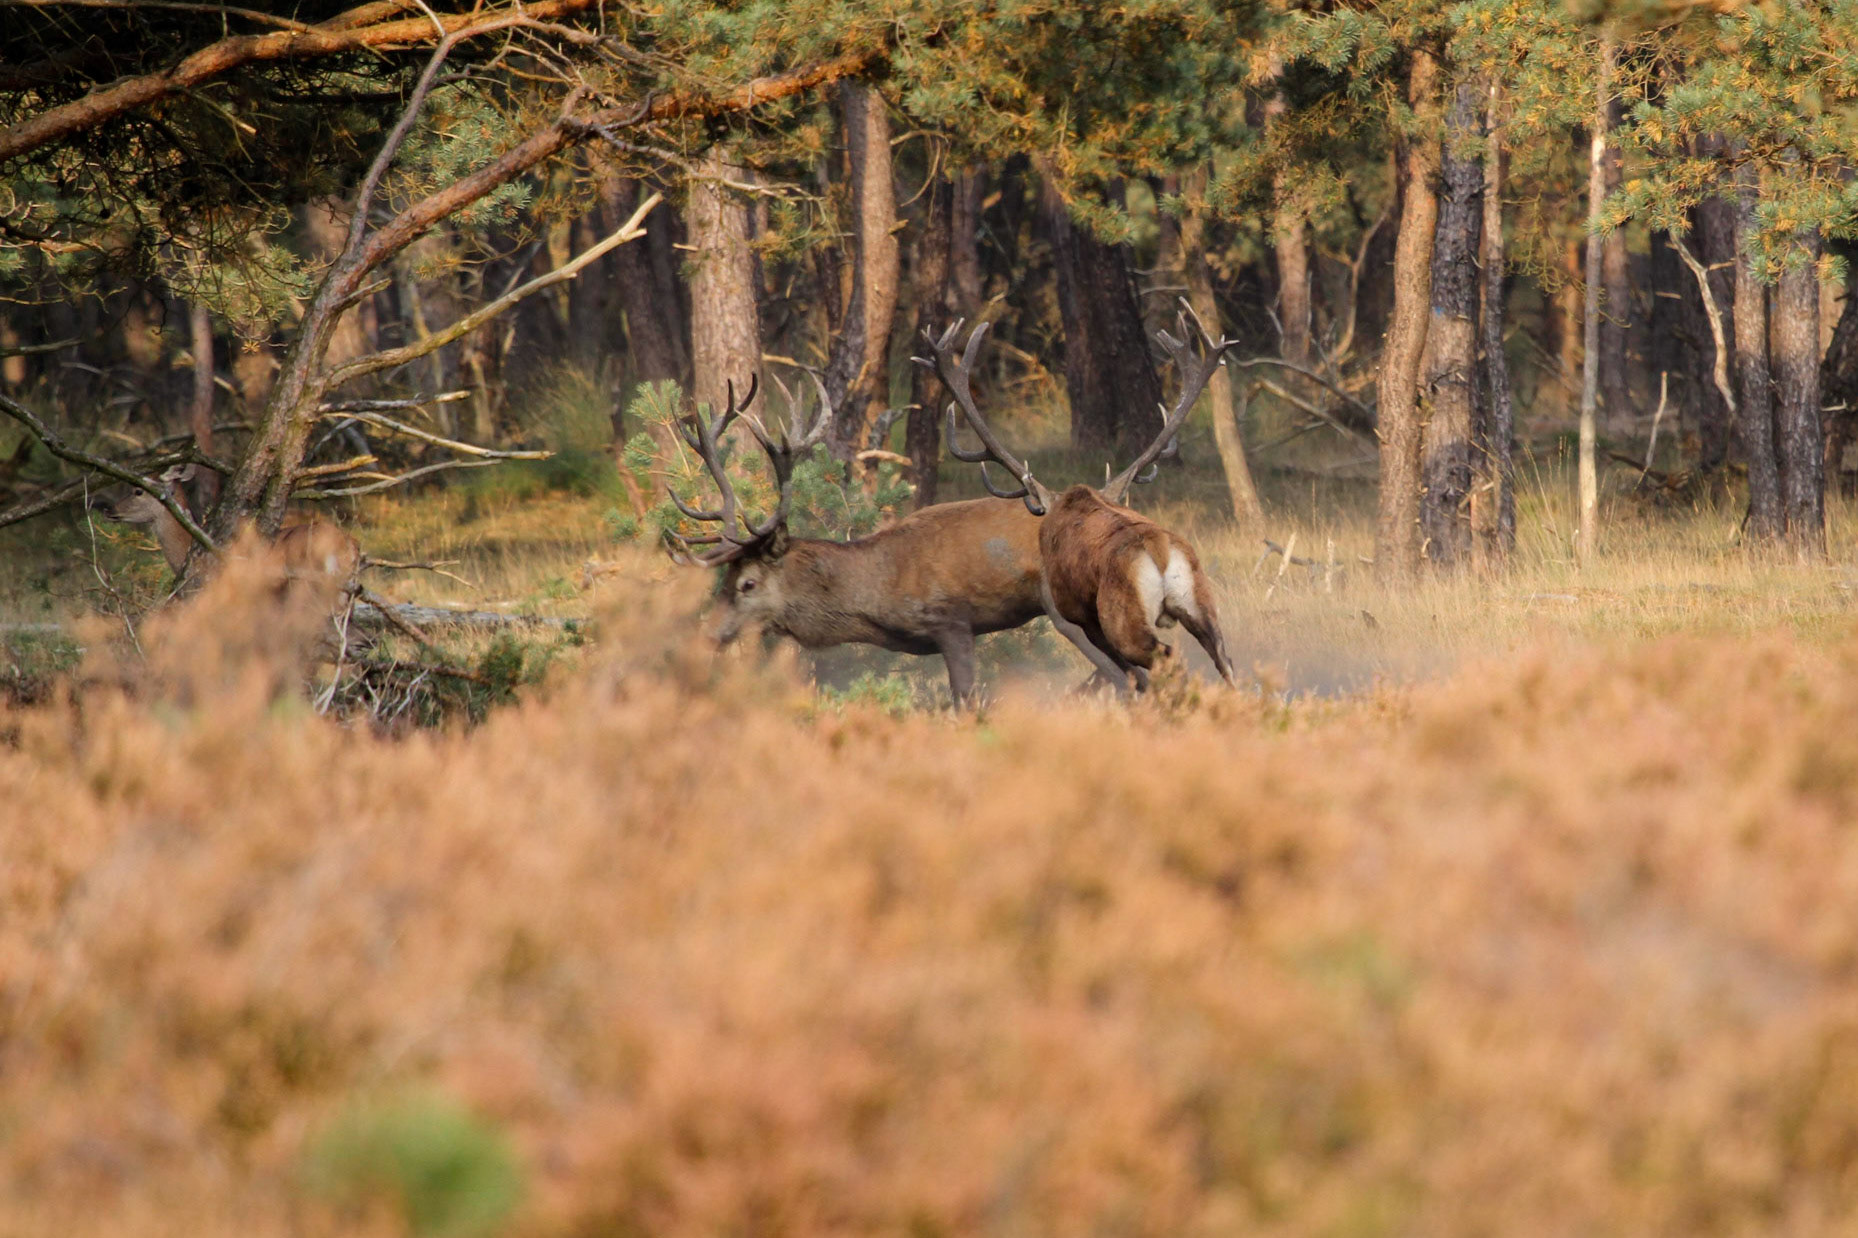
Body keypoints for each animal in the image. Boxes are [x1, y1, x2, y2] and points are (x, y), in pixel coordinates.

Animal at [662, 373, 1045, 707]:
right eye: (726, 578)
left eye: (749, 583)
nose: (709, 634)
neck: (881, 592)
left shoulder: (952, 620)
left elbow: (966, 700)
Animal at [917, 309, 1239, 694]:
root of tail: (1160, 550)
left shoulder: (1077, 612)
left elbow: (1127, 674)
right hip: (1201, 603)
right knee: (1225, 660)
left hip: (1122, 618)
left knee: (1166, 659)